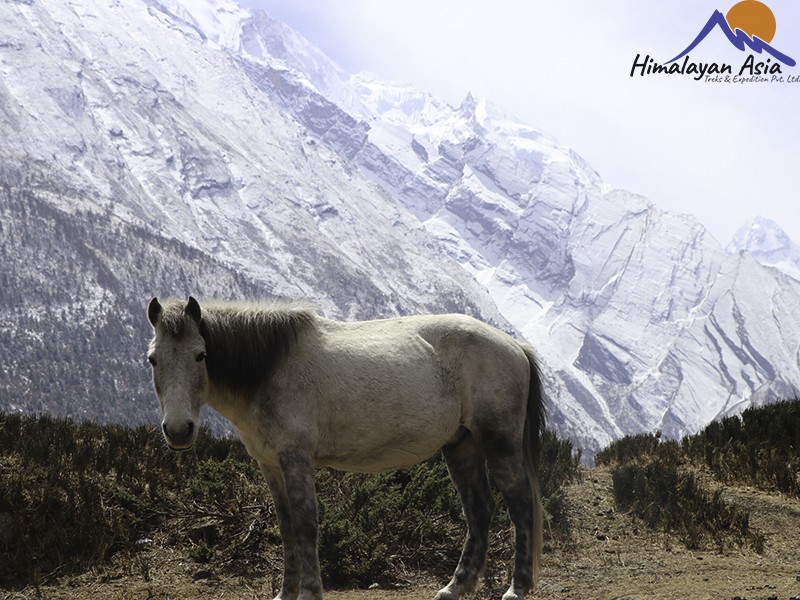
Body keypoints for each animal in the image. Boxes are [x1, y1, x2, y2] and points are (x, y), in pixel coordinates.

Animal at [145, 296, 544, 600]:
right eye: (153, 359)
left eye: (200, 355)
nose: (178, 430)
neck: (269, 369)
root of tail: (516, 347)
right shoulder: (269, 464)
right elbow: (286, 527)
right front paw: (285, 593)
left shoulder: (296, 458)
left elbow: (306, 524)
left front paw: (309, 592)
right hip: (461, 445)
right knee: (479, 511)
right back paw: (454, 588)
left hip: (498, 442)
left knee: (520, 505)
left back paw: (517, 588)